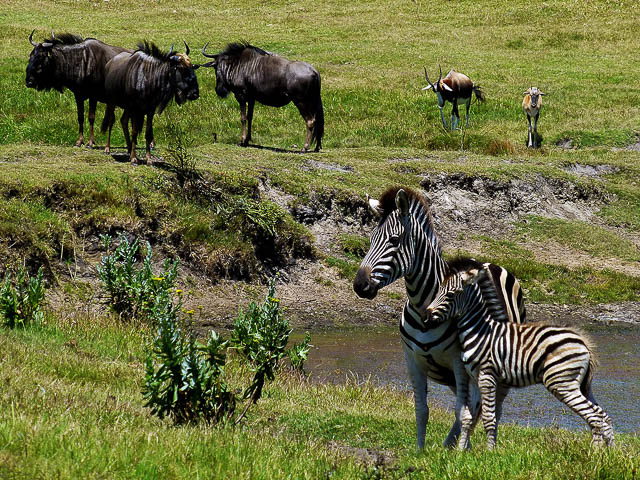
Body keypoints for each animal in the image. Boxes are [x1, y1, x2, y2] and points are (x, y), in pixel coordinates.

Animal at [356, 188, 524, 450]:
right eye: (371, 239)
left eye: (394, 241)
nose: (359, 285)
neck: (423, 306)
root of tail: (491, 264)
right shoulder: (412, 360)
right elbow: (422, 410)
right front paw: (421, 451)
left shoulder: (458, 362)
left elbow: (463, 412)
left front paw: (460, 452)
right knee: (475, 405)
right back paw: (454, 443)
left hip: (497, 369)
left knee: (488, 408)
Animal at [422, 258, 612, 450]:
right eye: (438, 290)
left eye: (451, 294)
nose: (426, 317)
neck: (479, 330)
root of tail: (583, 342)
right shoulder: (474, 378)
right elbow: (470, 417)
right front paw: (462, 451)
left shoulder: (487, 376)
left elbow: (488, 418)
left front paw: (489, 452)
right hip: (582, 385)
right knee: (602, 415)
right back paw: (607, 452)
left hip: (562, 382)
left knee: (594, 416)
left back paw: (596, 452)